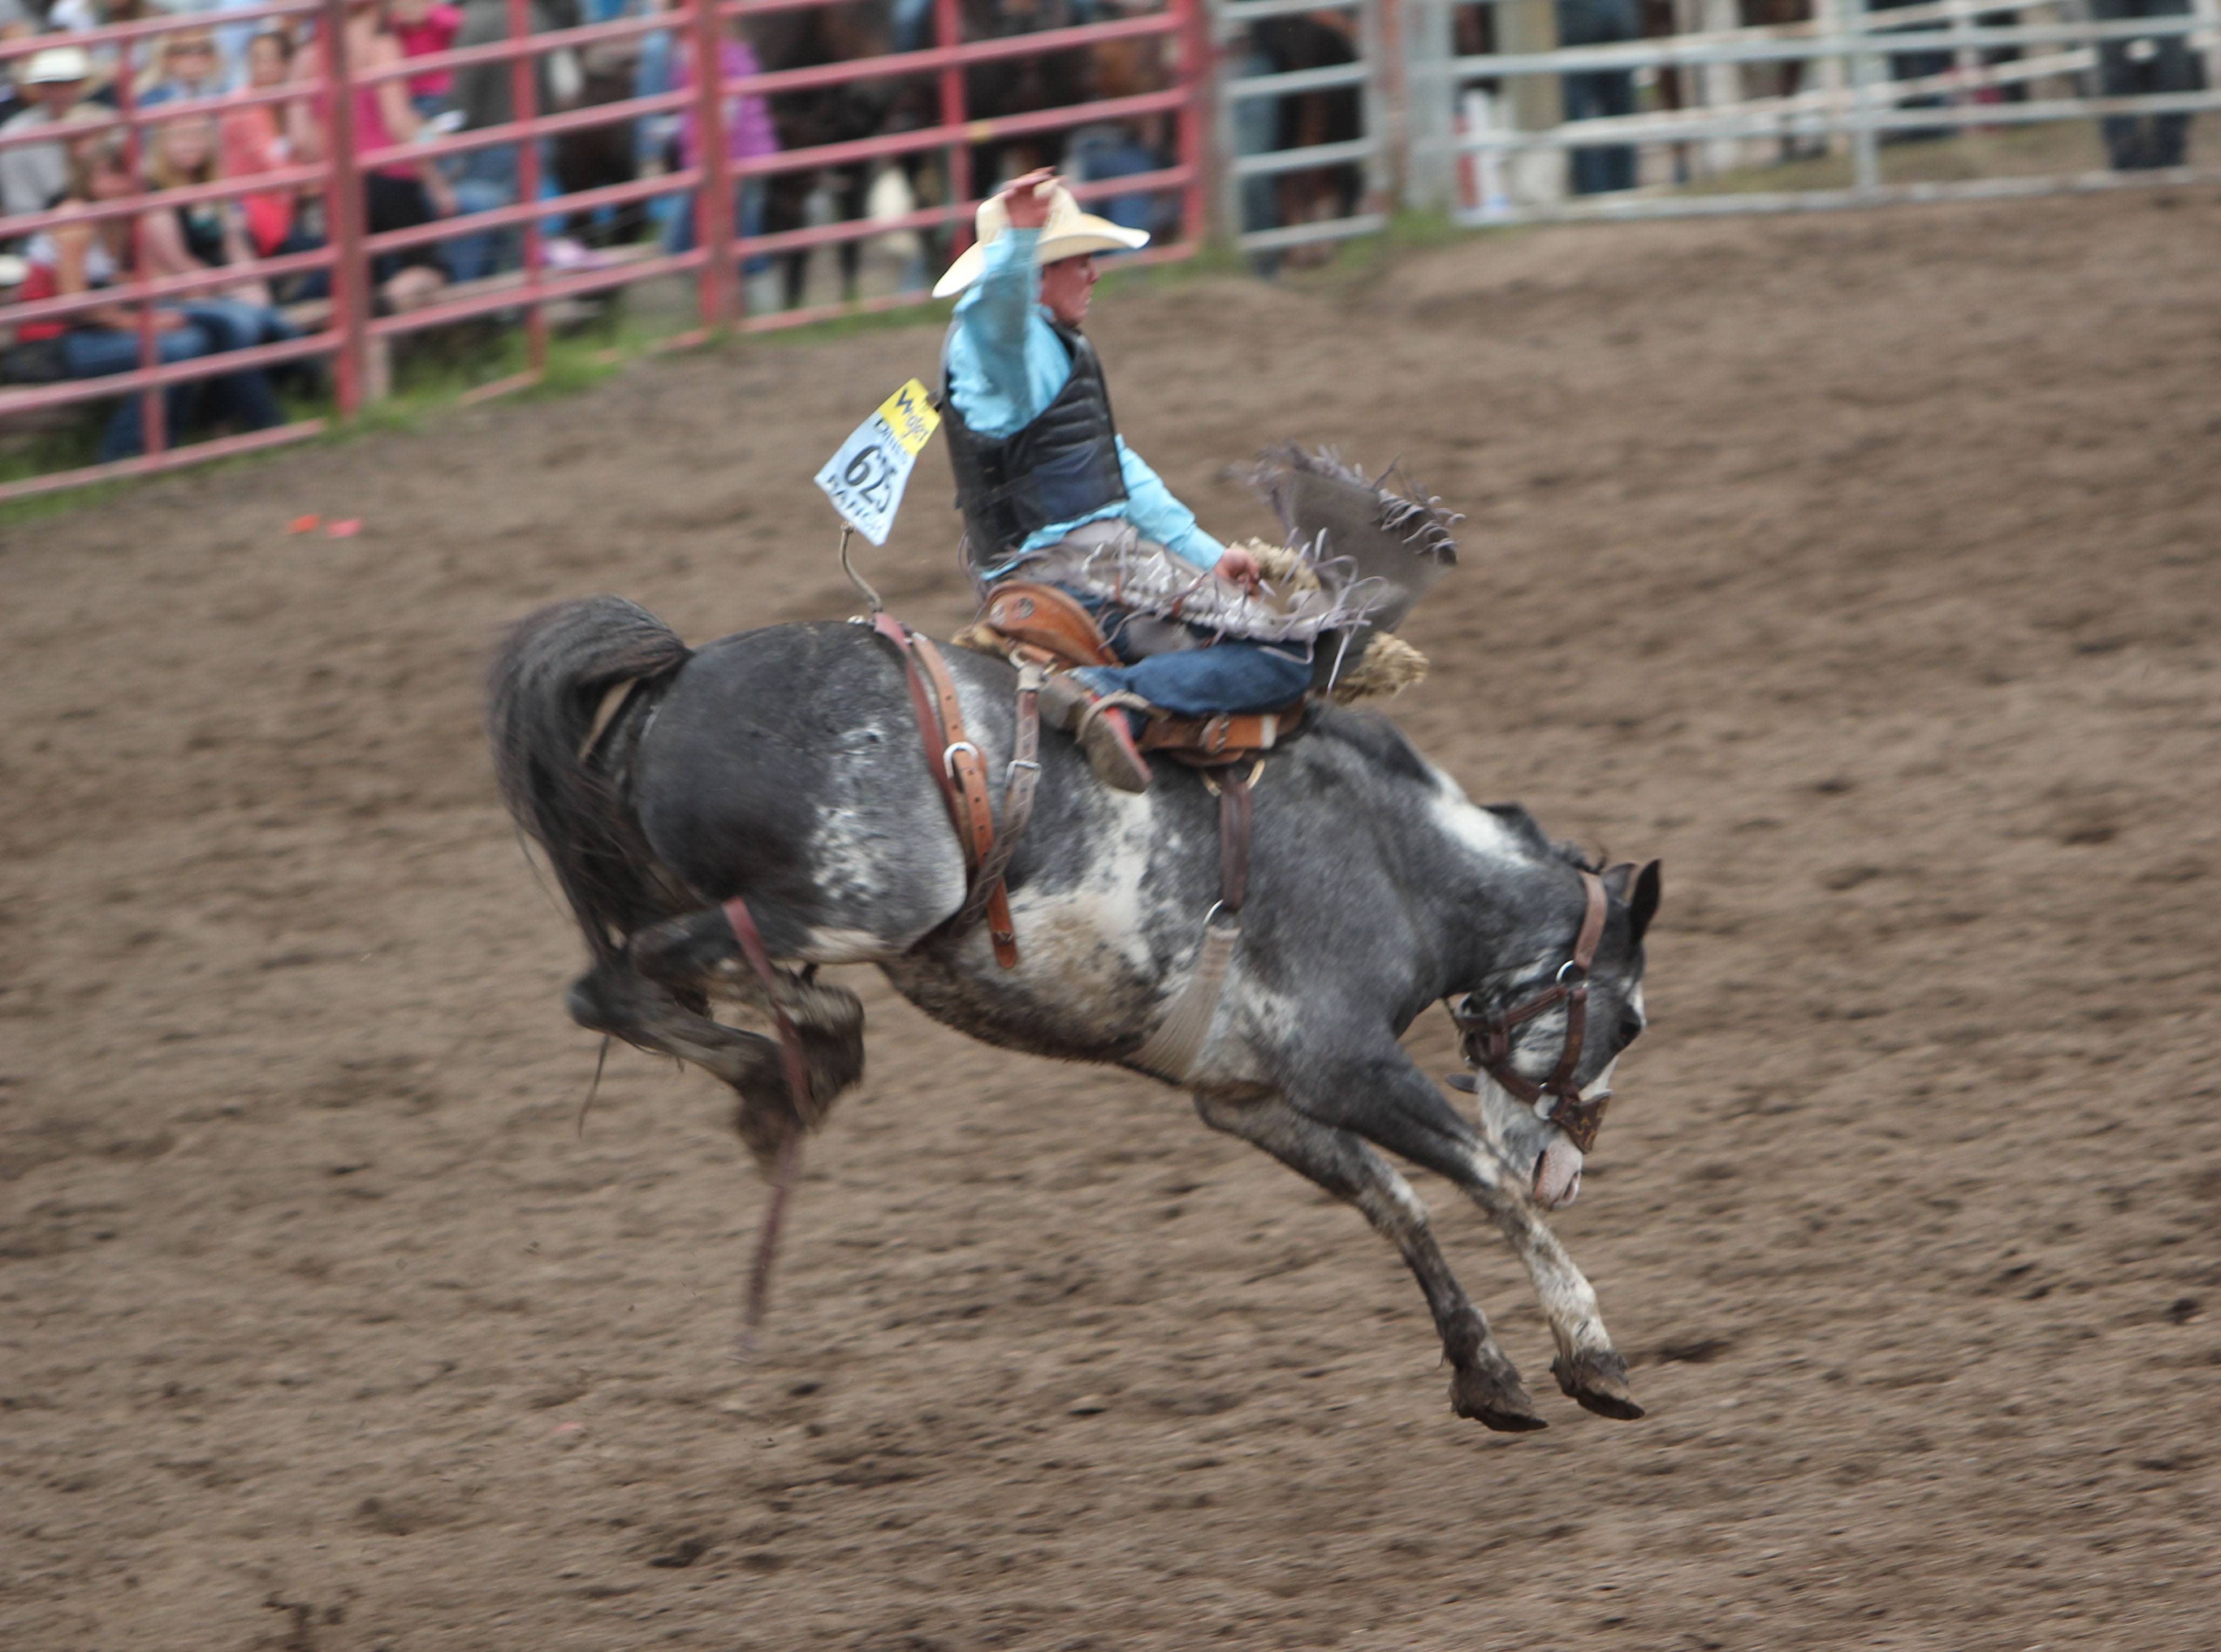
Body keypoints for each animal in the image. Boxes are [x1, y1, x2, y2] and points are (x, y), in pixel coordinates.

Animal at [490, 477, 1670, 1430]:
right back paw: (796, 1057)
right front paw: (1592, 1353)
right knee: (642, 973)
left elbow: (1399, 1207)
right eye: (1627, 1020)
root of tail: (678, 674)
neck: (1395, 857)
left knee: (615, 985)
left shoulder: (1251, 1098)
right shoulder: (1347, 1064)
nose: (1570, 1167)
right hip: (859, 902)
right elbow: (1482, 1182)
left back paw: (793, 1060)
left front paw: (1487, 1375)